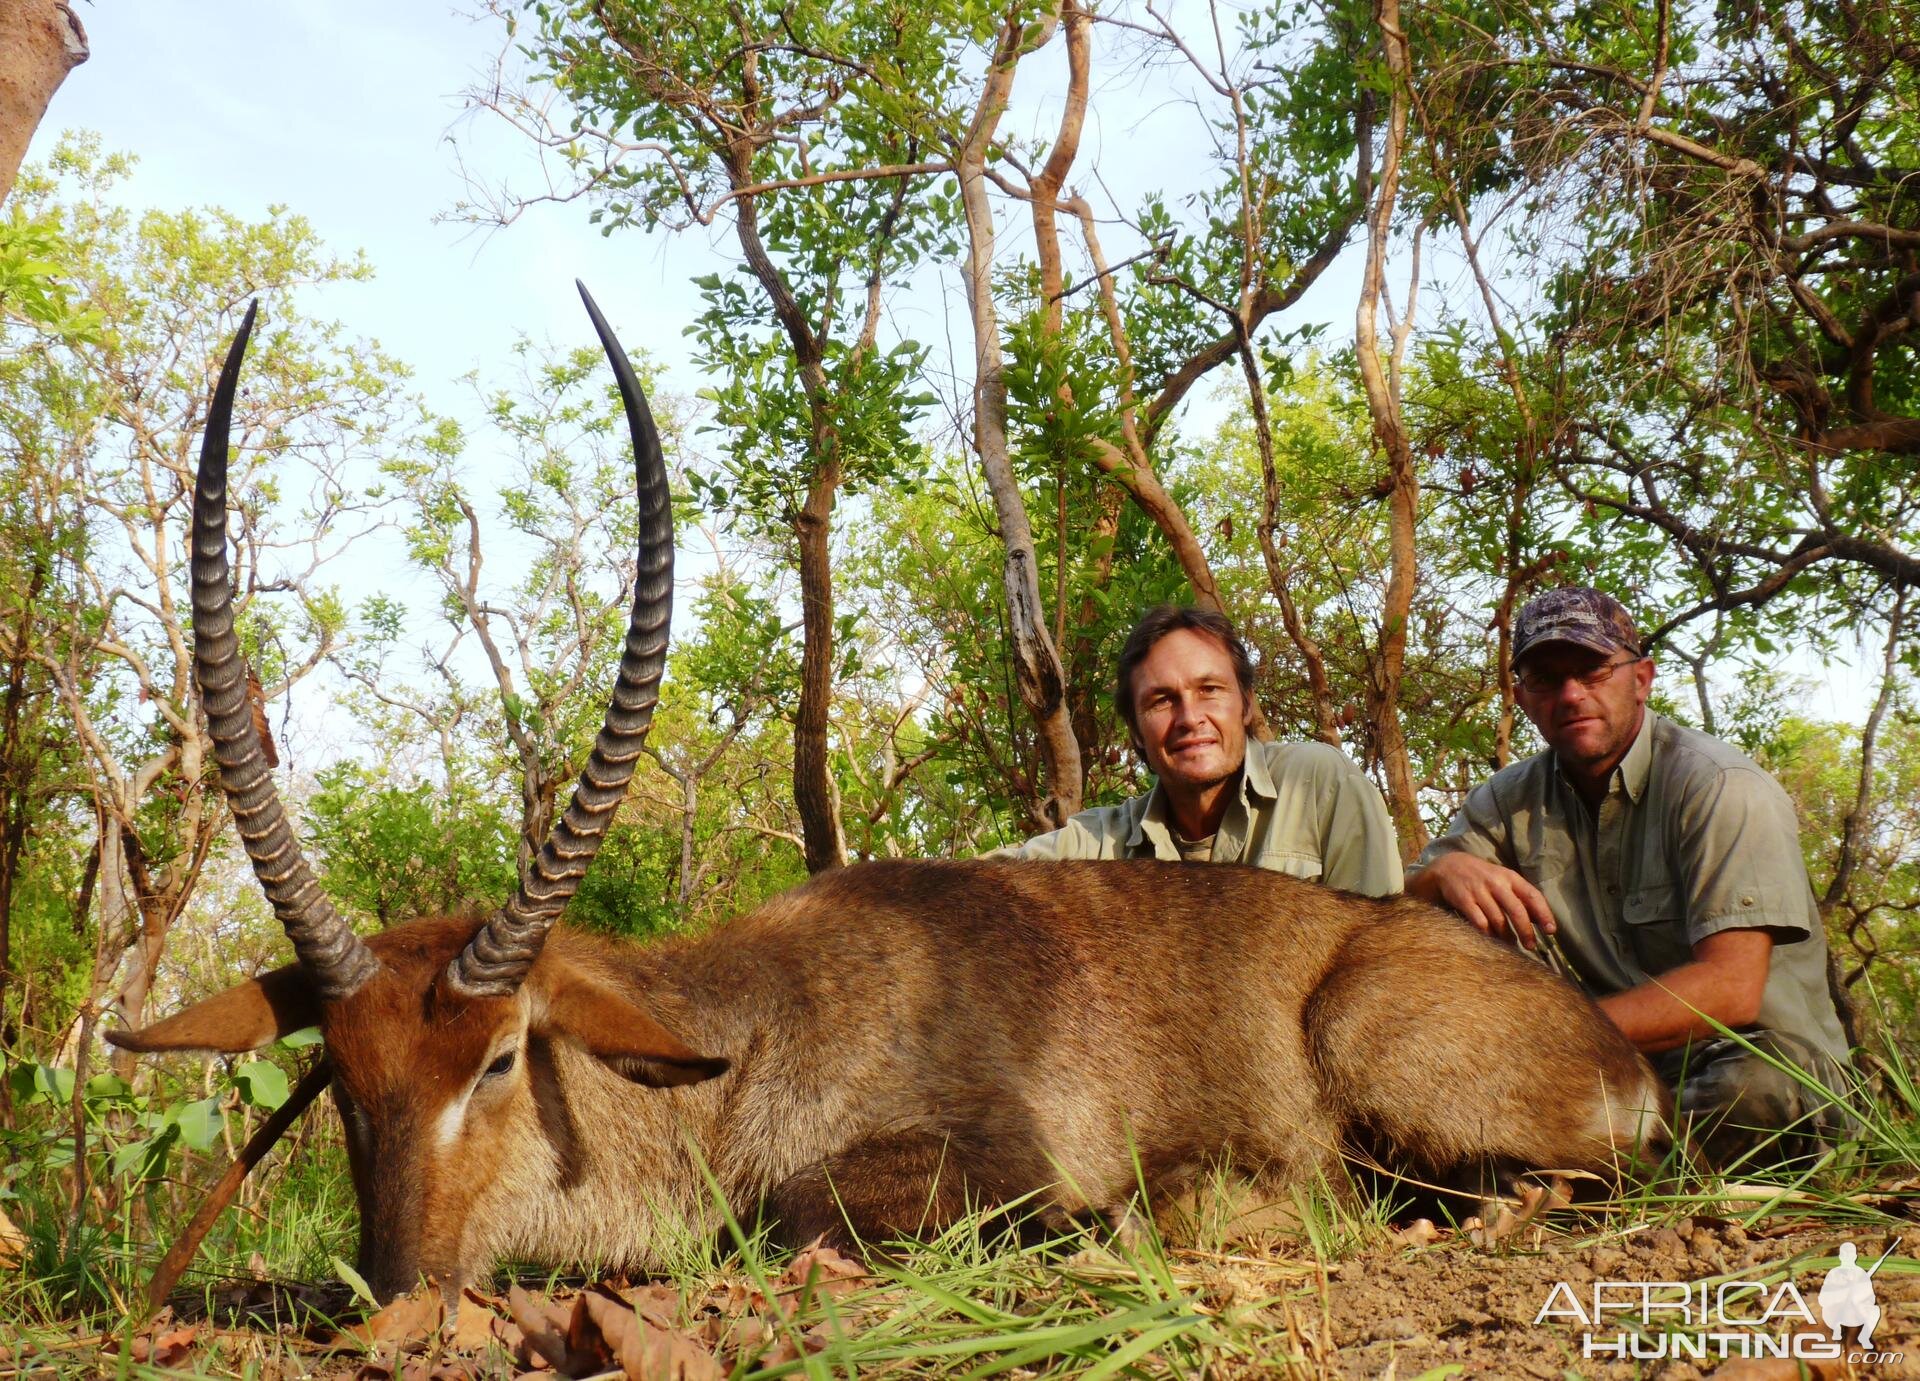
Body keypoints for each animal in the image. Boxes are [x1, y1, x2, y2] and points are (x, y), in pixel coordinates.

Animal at [108, 286, 1666, 1298]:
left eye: (496, 1060)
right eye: (338, 1074)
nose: (399, 1289)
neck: (746, 1043)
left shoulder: (983, 1155)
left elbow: (783, 1220)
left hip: (1367, 1029)